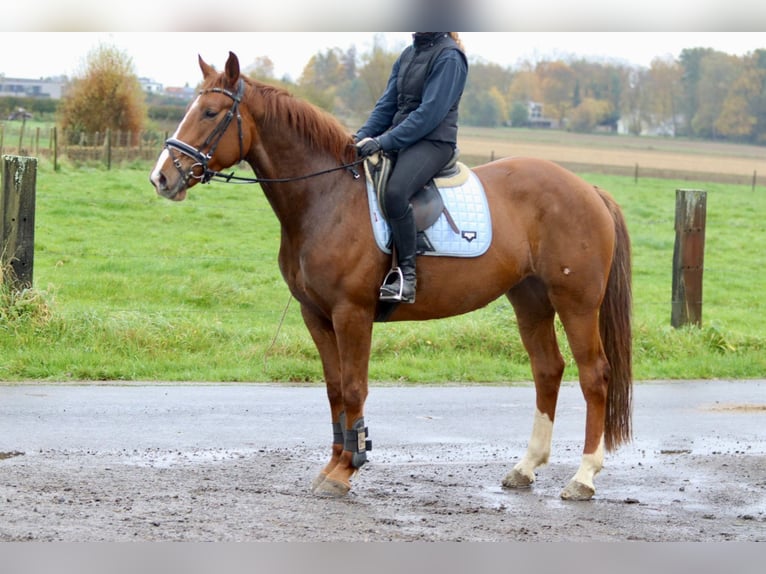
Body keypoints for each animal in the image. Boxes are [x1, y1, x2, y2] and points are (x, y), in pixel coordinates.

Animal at [150, 54, 636, 504]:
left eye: (210, 113)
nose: (161, 177)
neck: (327, 198)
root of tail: (588, 189)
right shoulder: (316, 316)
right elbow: (334, 390)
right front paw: (334, 463)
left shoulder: (352, 314)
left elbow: (354, 388)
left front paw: (348, 468)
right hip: (530, 299)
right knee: (547, 370)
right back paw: (526, 467)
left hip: (576, 302)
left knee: (594, 376)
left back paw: (583, 477)